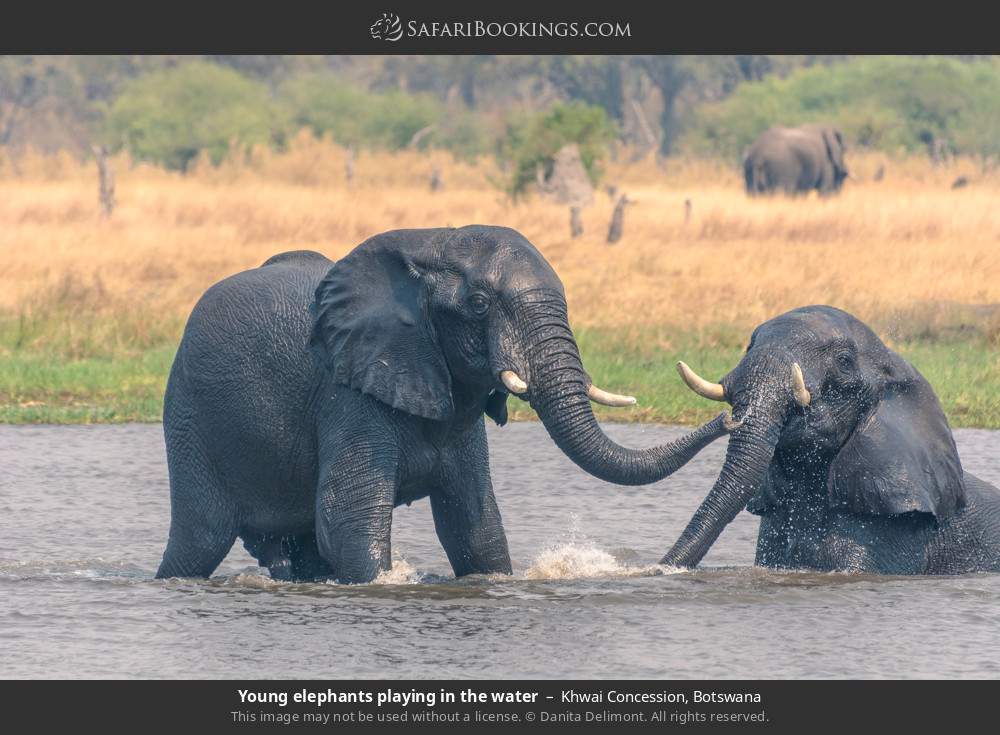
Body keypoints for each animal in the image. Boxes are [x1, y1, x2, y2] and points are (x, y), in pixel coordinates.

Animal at [158, 227, 736, 584]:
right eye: (479, 305)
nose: (733, 416)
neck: (430, 245)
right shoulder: (349, 388)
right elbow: (346, 517)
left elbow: (474, 525)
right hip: (188, 416)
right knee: (200, 538)